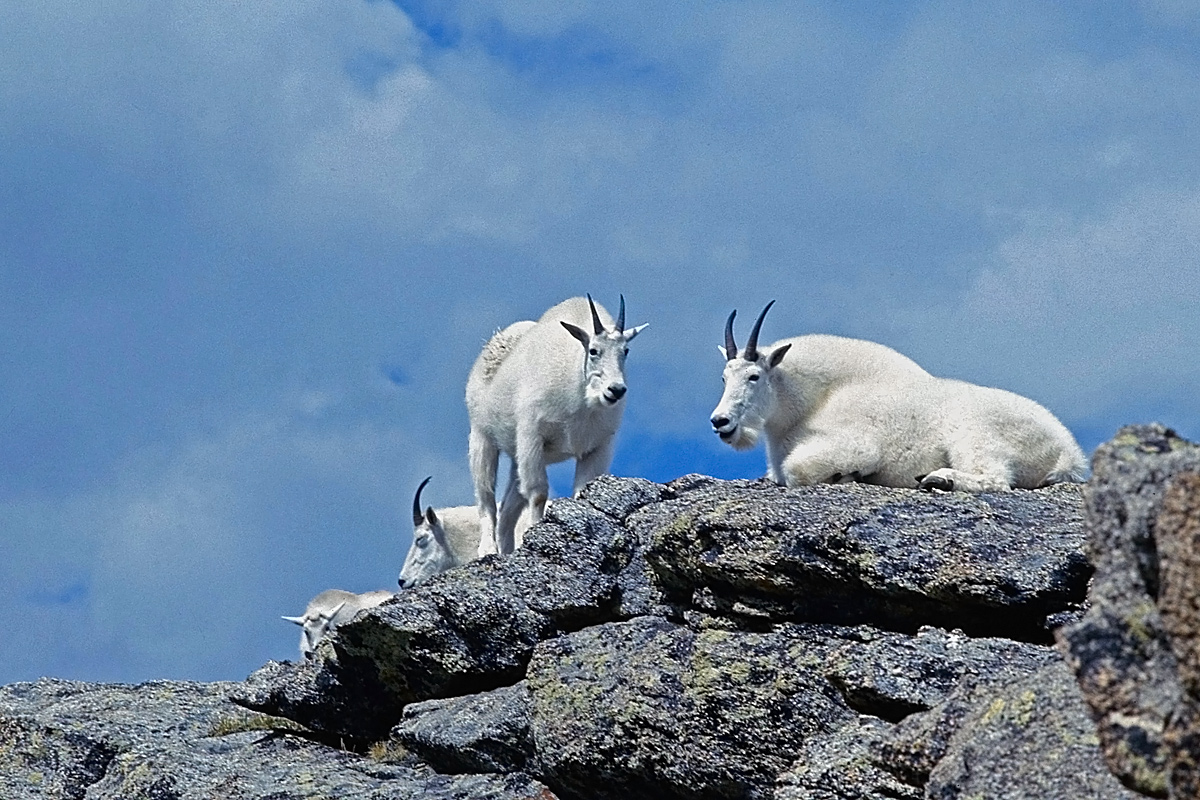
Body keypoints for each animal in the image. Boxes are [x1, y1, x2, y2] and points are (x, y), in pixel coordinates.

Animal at [467, 295, 647, 556]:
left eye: (626, 350)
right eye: (594, 350)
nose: (616, 390)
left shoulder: (598, 446)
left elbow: (582, 491)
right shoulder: (532, 436)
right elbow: (538, 493)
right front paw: (535, 529)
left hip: (516, 455)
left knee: (509, 507)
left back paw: (507, 550)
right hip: (481, 435)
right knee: (486, 498)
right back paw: (488, 549)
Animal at [710, 301, 1087, 492]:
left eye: (754, 376)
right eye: (725, 377)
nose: (720, 421)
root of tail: (1067, 452)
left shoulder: (855, 445)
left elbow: (798, 471)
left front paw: (847, 475)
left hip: (975, 434)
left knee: (996, 479)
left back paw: (938, 479)